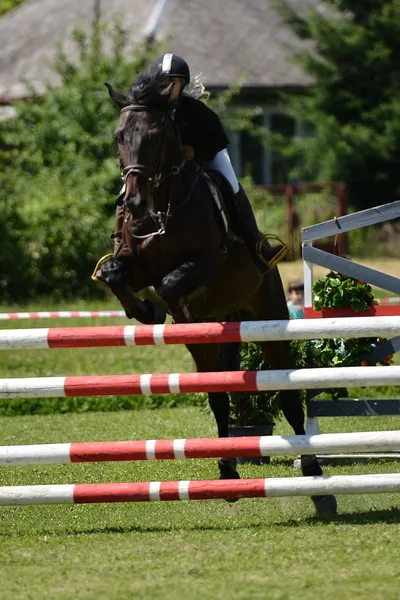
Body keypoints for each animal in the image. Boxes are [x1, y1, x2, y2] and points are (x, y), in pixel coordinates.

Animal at [97, 72, 338, 516]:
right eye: (119, 136)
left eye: (156, 135)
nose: (133, 202)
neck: (162, 204)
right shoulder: (134, 263)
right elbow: (113, 274)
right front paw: (147, 311)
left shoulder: (210, 258)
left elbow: (172, 283)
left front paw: (167, 308)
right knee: (218, 393)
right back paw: (227, 471)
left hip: (268, 313)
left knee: (288, 397)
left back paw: (316, 478)